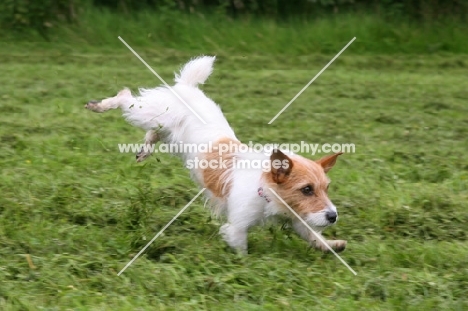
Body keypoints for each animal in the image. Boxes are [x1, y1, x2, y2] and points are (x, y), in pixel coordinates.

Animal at [86, 56, 346, 254]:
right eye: (307, 189)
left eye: (326, 188)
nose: (333, 216)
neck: (265, 189)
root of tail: (187, 87)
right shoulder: (238, 226)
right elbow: (241, 248)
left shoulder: (298, 219)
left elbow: (313, 236)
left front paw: (333, 245)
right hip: (147, 112)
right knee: (126, 97)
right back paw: (100, 105)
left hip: (164, 127)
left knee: (154, 133)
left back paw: (144, 150)